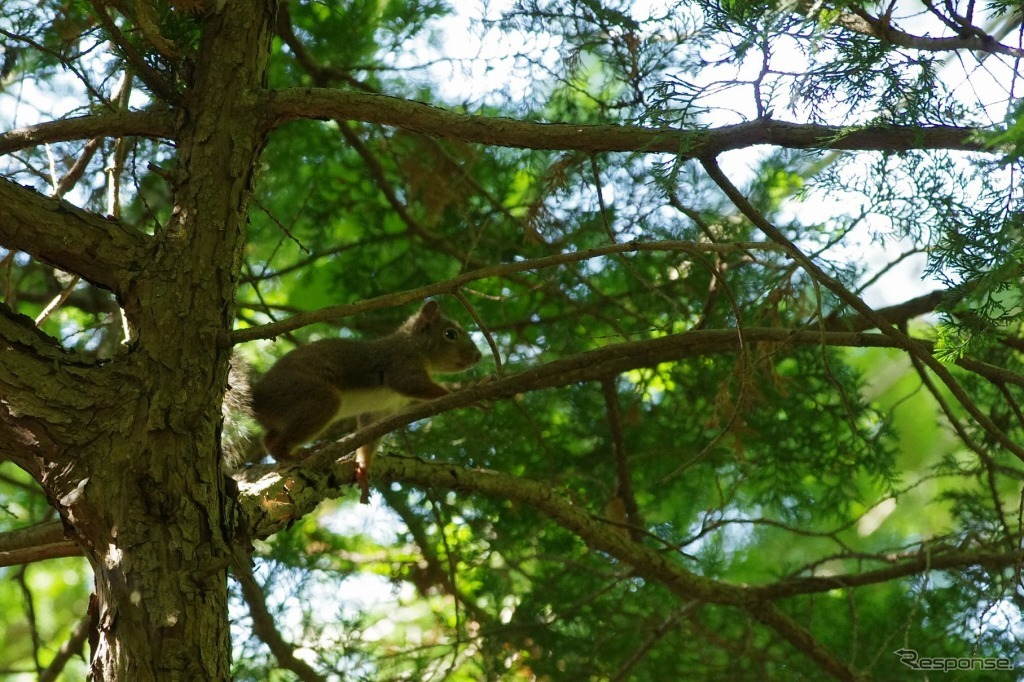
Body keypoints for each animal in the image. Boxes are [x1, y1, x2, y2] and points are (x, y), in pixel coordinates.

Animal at [251, 301, 483, 501]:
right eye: (450, 334)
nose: (478, 356)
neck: (415, 344)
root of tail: (258, 399)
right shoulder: (401, 362)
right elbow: (411, 384)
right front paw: (466, 396)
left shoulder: (383, 410)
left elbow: (370, 434)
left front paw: (362, 469)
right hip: (315, 399)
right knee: (277, 442)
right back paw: (292, 455)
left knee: (268, 438)